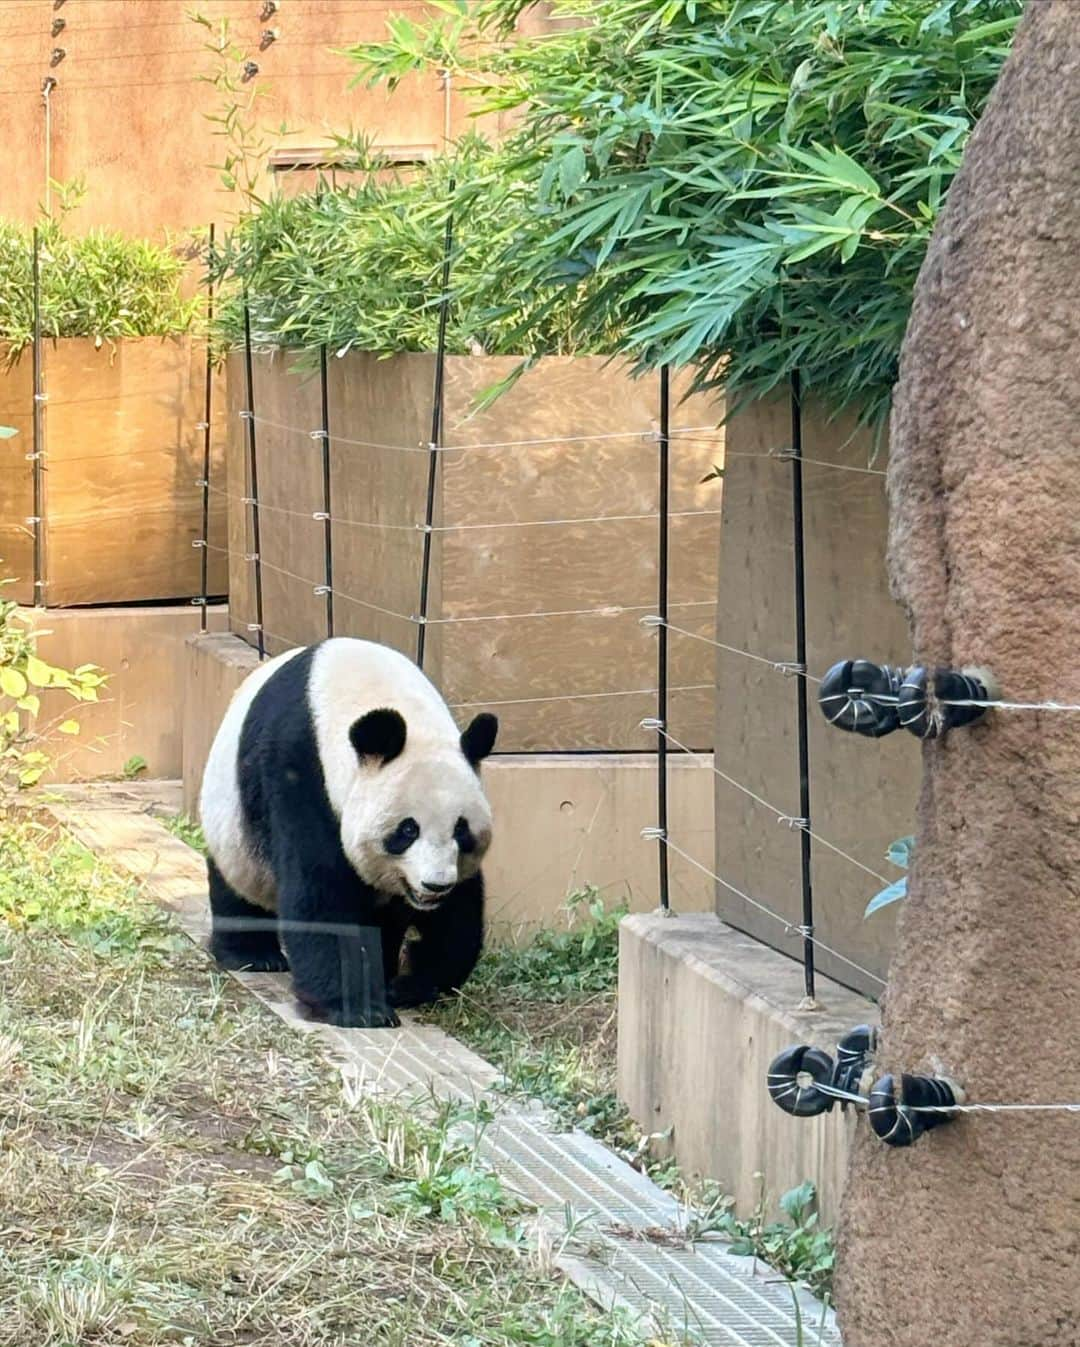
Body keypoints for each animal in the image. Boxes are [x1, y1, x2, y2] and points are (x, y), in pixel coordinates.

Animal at [197, 635, 495, 1023]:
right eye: (407, 830)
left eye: (462, 830)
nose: (434, 885)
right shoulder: (299, 771)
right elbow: (320, 889)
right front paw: (358, 1008)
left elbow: (458, 912)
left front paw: (408, 986)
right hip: (232, 823)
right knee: (236, 883)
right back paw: (253, 955)